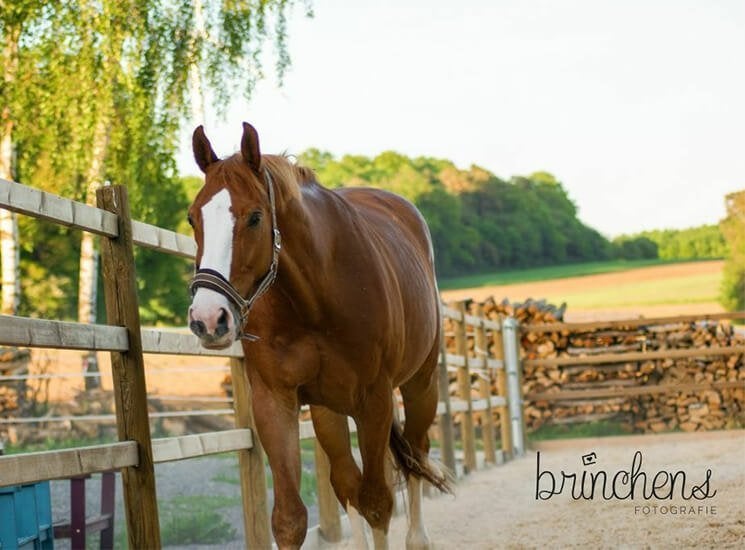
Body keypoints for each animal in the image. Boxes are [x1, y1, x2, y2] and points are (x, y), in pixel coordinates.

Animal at [187, 122, 450, 549]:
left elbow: (379, 503)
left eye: (255, 217)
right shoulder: (274, 402)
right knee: (346, 482)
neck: (313, 298)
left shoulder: (375, 402)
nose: (209, 318)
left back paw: (418, 537)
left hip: (420, 386)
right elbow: (290, 519)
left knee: (414, 456)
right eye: (193, 219)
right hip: (330, 410)